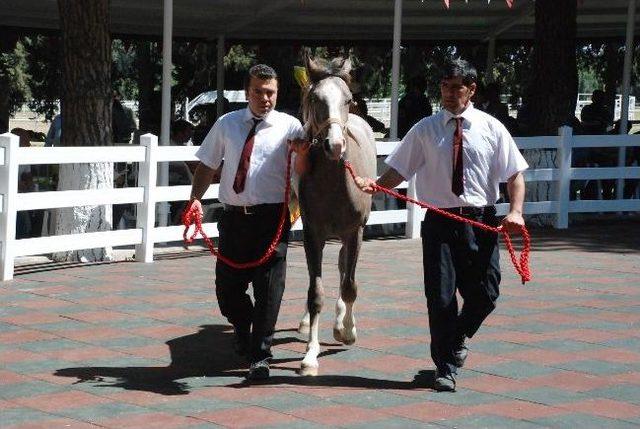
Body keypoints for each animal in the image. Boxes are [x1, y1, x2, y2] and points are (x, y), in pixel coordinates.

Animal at [298, 54, 378, 374]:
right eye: (315, 98)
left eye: (347, 99)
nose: (335, 145)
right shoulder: (312, 235)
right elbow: (315, 292)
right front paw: (310, 355)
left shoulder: (354, 232)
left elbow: (350, 286)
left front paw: (348, 331)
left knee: (345, 270)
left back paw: (341, 322)